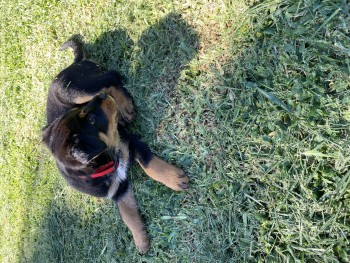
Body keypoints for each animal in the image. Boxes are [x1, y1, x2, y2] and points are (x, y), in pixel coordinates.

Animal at [42, 36, 190, 255]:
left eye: (87, 116)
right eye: (92, 119)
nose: (101, 99)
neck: (107, 162)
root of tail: (74, 63)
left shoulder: (130, 142)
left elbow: (150, 165)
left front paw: (175, 179)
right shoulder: (117, 191)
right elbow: (127, 215)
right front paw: (141, 241)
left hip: (74, 91)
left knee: (111, 77)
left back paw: (125, 107)